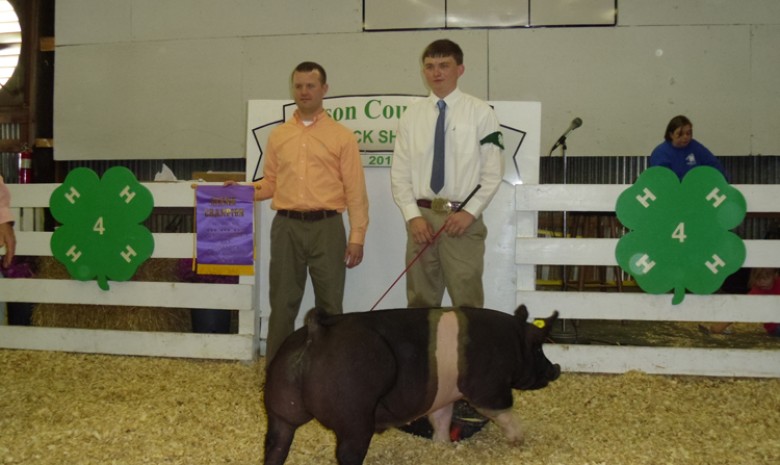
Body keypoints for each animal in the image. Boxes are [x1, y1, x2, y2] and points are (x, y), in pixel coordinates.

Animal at [262, 304, 560, 464]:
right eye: (537, 348)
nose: (556, 369)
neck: (513, 342)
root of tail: (316, 331)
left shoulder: (444, 395)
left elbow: (441, 418)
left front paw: (442, 446)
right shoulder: (488, 388)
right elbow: (504, 412)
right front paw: (519, 441)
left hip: (280, 407)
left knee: (275, 443)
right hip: (354, 417)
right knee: (347, 453)